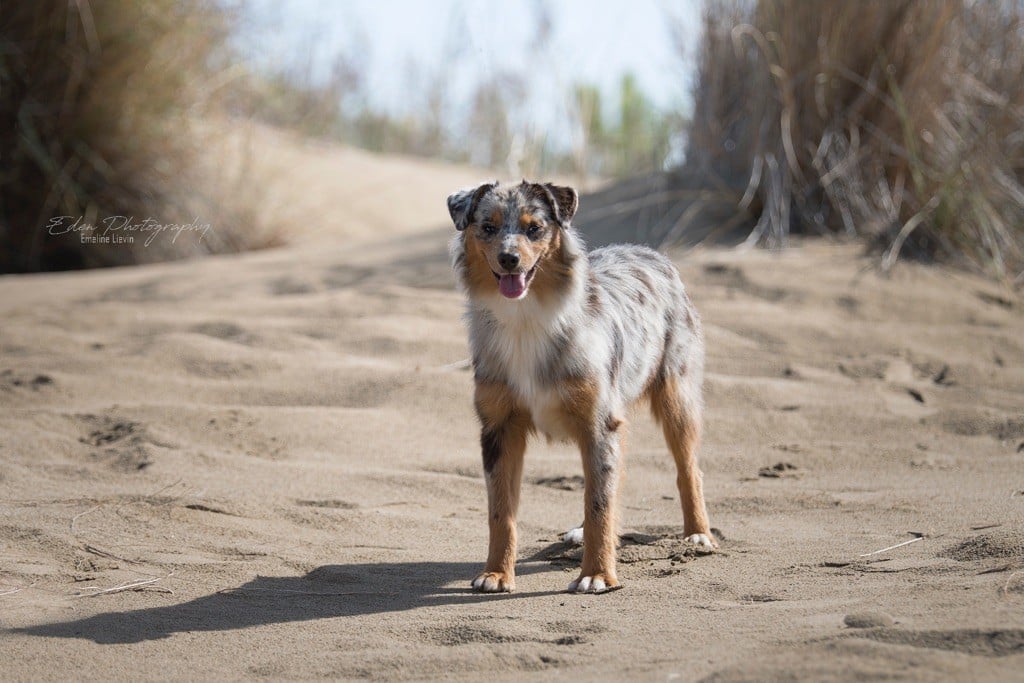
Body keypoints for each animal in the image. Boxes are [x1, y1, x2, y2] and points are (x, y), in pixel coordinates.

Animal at [448, 180, 712, 593]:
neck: (527, 319)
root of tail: (650, 251)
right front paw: (496, 573)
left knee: (687, 469)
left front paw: (597, 574)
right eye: (487, 228)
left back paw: (698, 535)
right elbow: (500, 512)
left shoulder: (599, 423)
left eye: (535, 228)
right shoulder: (499, 428)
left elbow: (600, 504)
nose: (509, 259)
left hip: (676, 396)